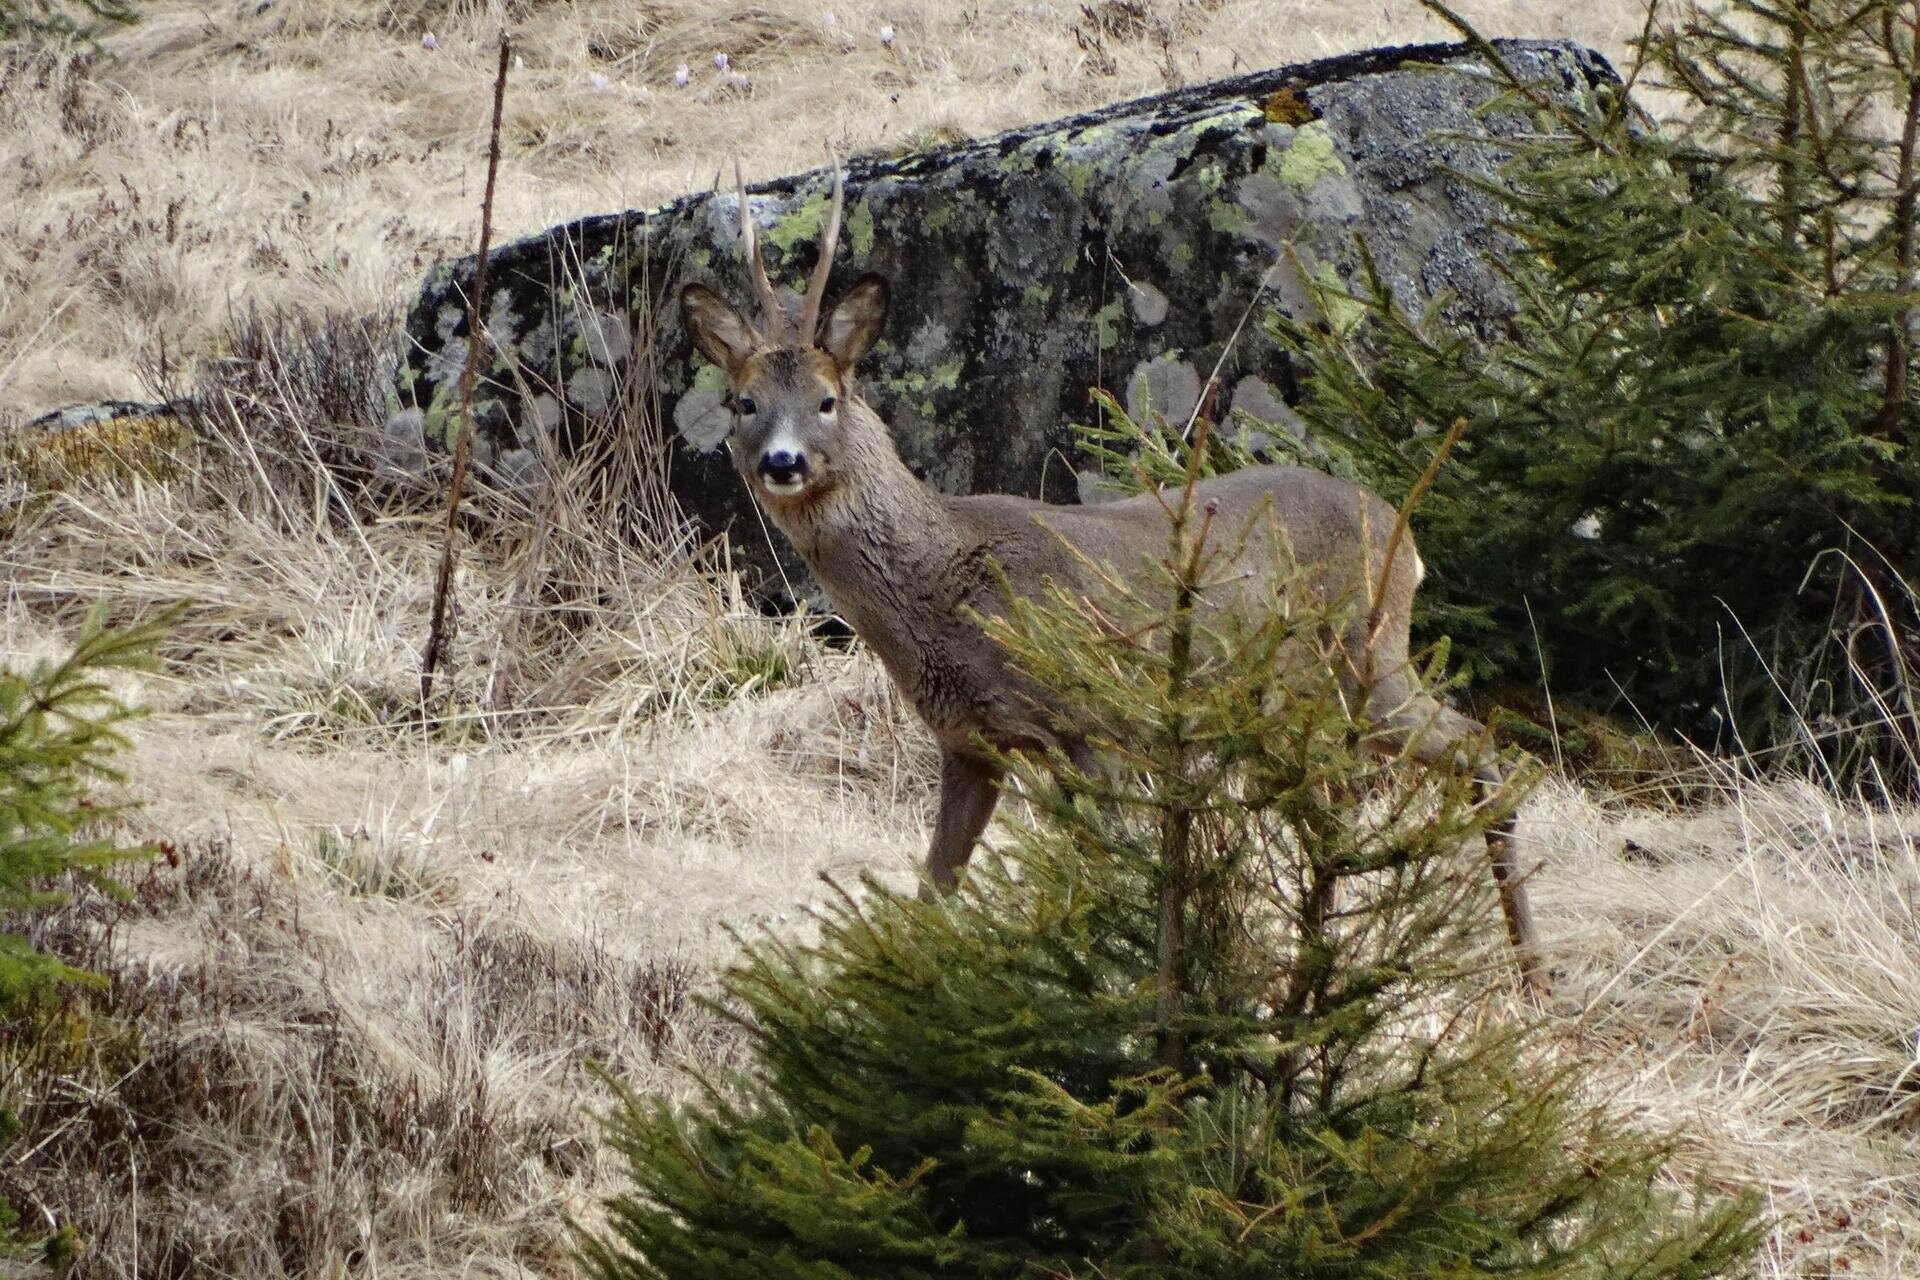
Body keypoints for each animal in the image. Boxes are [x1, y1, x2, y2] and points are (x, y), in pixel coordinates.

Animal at [679, 165, 1546, 994]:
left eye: (827, 399)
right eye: (743, 402)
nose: (781, 461)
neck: (947, 582)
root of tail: (1402, 532)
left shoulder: (1092, 723)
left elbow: (1104, 878)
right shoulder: (969, 743)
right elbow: (935, 889)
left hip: (1366, 654)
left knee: (1477, 752)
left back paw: (1529, 974)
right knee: (1338, 804)